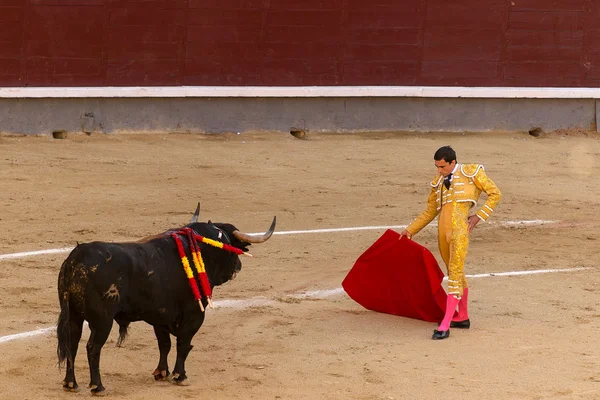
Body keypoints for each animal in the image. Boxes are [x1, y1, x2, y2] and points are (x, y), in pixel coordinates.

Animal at [56, 208, 276, 396]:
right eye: (232, 246)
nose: (238, 266)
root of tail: (75, 259)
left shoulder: (160, 315)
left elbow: (164, 343)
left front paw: (161, 373)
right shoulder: (194, 313)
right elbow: (183, 343)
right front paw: (181, 376)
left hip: (73, 316)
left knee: (71, 344)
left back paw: (70, 383)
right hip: (103, 320)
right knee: (92, 348)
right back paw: (97, 386)